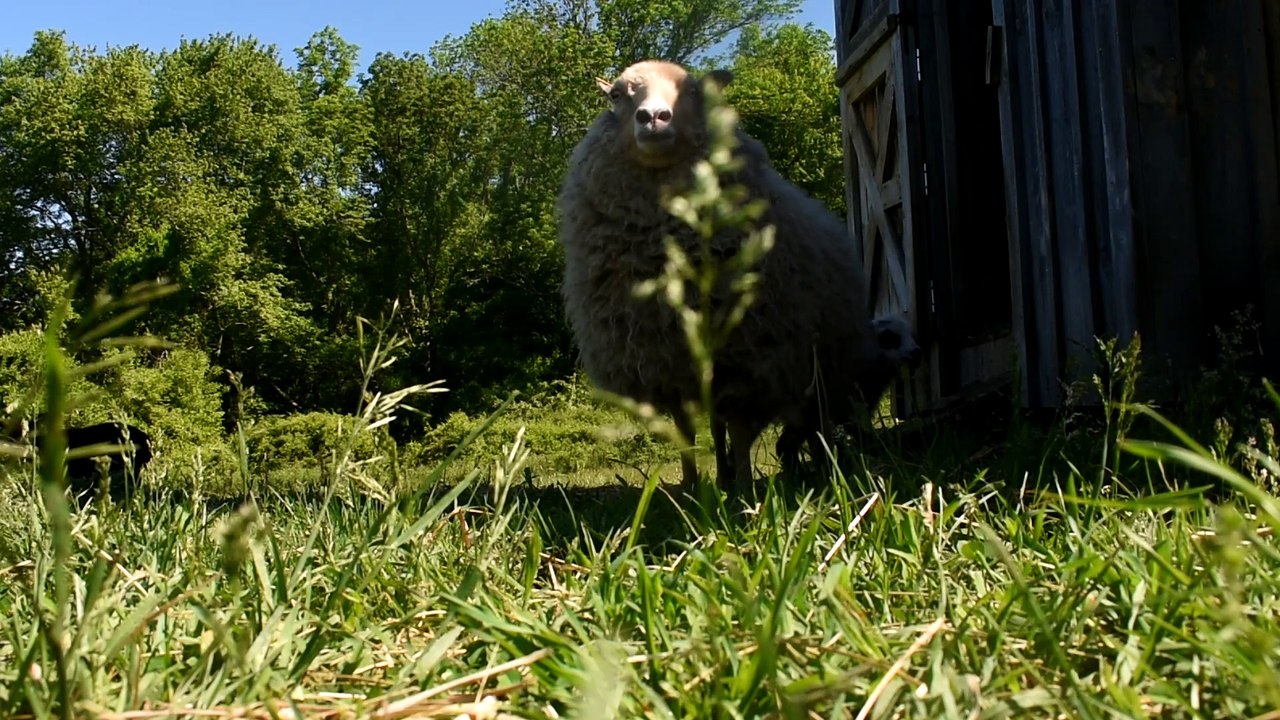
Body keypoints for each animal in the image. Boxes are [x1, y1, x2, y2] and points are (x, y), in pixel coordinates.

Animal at [556, 59, 880, 498]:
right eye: (616, 96)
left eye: (693, 91)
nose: (653, 117)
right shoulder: (667, 364)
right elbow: (686, 432)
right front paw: (692, 488)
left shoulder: (751, 360)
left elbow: (741, 433)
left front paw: (745, 490)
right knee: (718, 423)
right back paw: (723, 478)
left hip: (816, 370)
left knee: (810, 420)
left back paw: (814, 467)